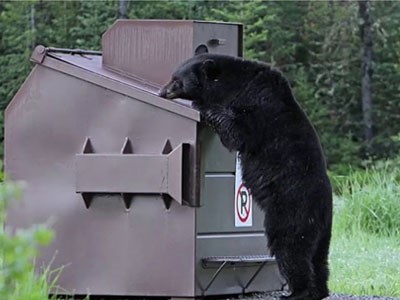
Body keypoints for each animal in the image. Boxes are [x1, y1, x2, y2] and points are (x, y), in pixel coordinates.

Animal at [159, 53, 332, 300]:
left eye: (176, 80)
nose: (162, 92)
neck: (236, 85)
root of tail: (323, 207)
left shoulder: (259, 104)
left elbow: (238, 134)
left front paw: (205, 107)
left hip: (292, 209)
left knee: (290, 246)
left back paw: (298, 291)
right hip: (323, 229)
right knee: (319, 257)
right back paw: (319, 289)